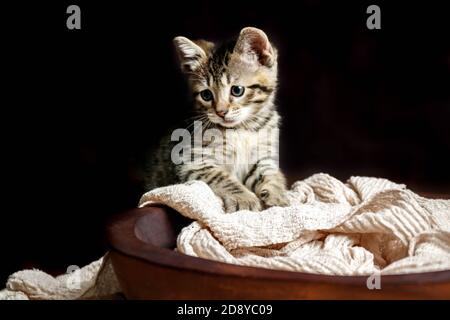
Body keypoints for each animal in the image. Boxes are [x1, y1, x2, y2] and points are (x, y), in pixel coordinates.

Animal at [144, 26, 288, 212]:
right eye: (206, 94)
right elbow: (221, 177)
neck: (242, 128)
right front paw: (244, 198)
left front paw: (278, 194)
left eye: (237, 90)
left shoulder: (262, 155)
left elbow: (269, 173)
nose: (221, 112)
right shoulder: (192, 161)